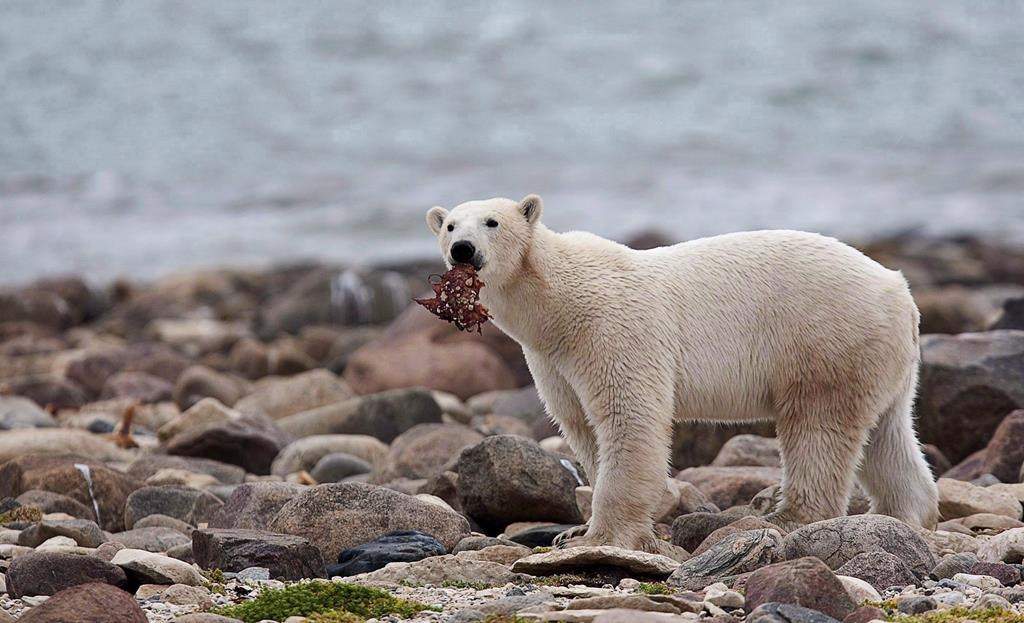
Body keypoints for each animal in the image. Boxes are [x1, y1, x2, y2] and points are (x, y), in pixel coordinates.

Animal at [425, 194, 940, 554]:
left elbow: (628, 417)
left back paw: (787, 517)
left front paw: (599, 536)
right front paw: (574, 531)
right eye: (449, 225)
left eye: (492, 221)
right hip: (879, 358)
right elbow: (581, 425)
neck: (557, 304)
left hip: (825, 339)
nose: (463, 249)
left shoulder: (612, 330)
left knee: (818, 427)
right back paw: (905, 515)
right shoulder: (551, 359)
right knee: (888, 435)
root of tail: (900, 290)